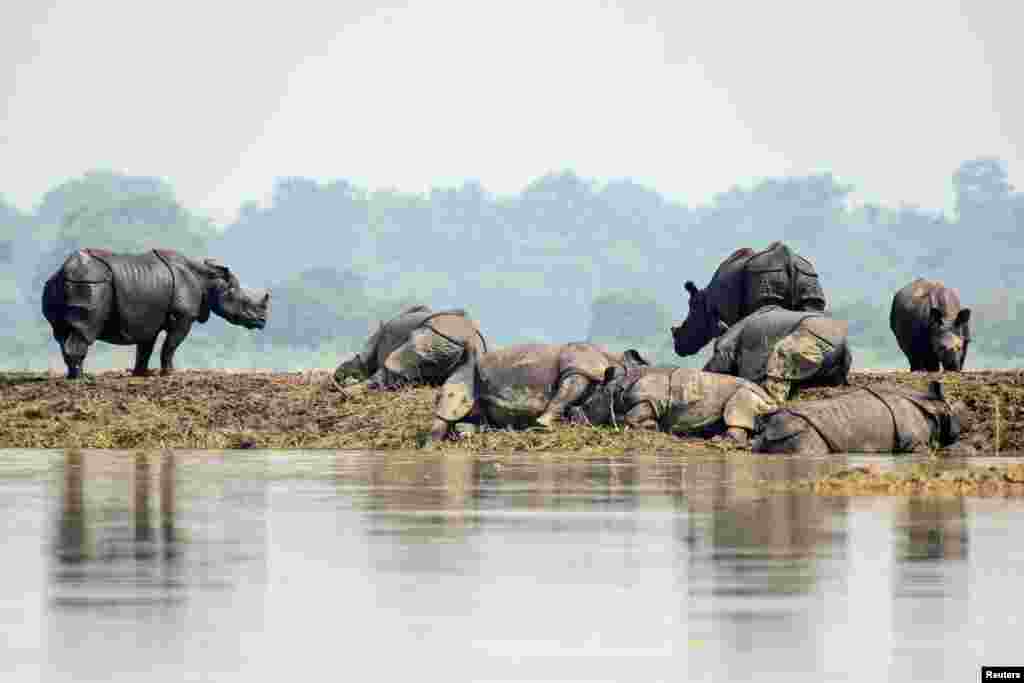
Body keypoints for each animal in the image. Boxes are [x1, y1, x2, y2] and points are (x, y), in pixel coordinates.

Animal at [42, 248, 269, 379]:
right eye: (244, 303)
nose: (262, 321)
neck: (208, 280)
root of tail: (64, 271)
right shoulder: (183, 316)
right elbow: (171, 345)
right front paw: (169, 374)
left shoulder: (147, 318)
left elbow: (145, 347)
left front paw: (141, 374)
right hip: (91, 283)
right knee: (85, 329)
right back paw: (82, 378)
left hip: (61, 284)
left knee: (61, 333)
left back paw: (74, 375)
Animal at [427, 343, 648, 445]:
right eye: (619, 394)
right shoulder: (578, 367)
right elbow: (566, 392)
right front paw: (544, 424)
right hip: (468, 369)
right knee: (451, 406)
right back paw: (431, 446)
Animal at [570, 366, 777, 446]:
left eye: (587, 404)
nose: (573, 418)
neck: (616, 388)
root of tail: (771, 399)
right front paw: (653, 426)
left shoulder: (650, 400)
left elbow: (631, 416)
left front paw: (651, 426)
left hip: (747, 393)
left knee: (736, 408)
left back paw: (719, 441)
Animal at [671, 242, 826, 357]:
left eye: (688, 324)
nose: (678, 347)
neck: (703, 300)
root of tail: (788, 257)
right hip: (807, 274)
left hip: (764, 272)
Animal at [703, 305, 852, 404]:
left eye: (716, 352)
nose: (705, 370)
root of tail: (844, 343)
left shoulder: (749, 358)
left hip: (813, 333)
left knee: (782, 358)